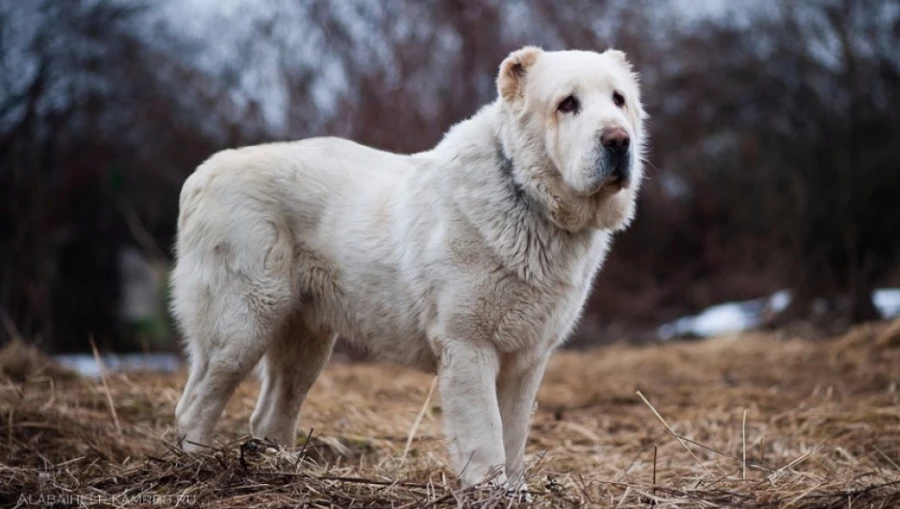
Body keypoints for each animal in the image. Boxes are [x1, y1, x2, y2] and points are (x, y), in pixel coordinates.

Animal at [171, 46, 648, 488]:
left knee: (270, 414)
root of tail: (203, 173)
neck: (525, 195)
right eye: (567, 103)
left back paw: (283, 473)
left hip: (306, 338)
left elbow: (513, 440)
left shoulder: (528, 359)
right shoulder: (468, 346)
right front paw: (490, 492)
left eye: (619, 100)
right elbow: (487, 439)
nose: (618, 140)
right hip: (242, 323)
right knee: (195, 407)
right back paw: (197, 471)